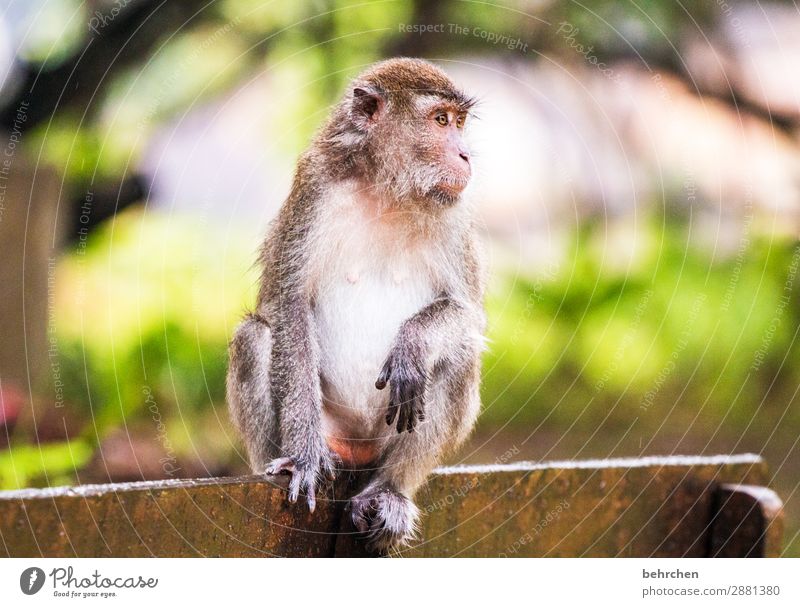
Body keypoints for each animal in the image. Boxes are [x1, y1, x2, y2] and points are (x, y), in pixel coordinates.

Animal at [228, 58, 484, 556]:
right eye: (440, 120)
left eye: (459, 122)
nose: (466, 156)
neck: (388, 189)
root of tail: (357, 451)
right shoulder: (315, 189)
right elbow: (287, 305)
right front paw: (305, 458)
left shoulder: (456, 213)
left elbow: (468, 315)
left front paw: (413, 342)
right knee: (255, 336)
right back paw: (286, 462)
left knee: (458, 356)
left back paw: (389, 491)